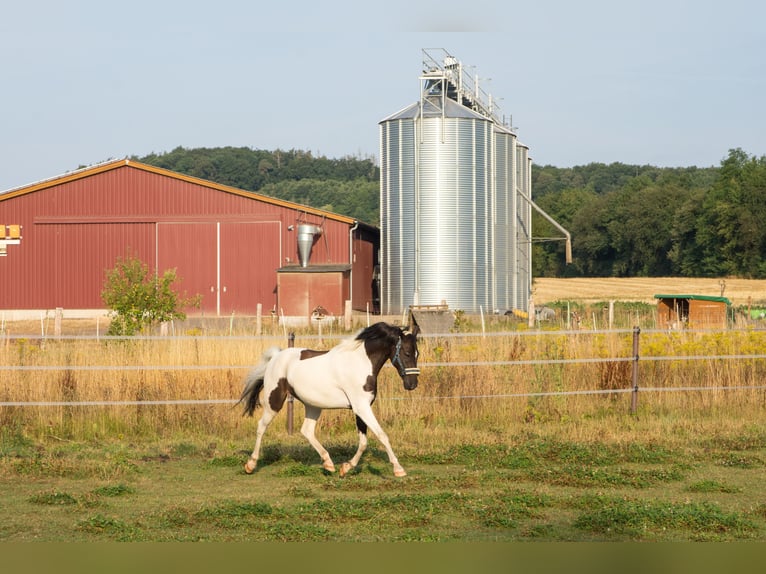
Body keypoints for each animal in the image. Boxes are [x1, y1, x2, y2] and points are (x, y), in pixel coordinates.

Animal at [238, 322, 424, 480]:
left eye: (417, 354)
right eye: (407, 353)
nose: (412, 384)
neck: (360, 363)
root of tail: (276, 356)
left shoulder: (360, 408)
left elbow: (363, 442)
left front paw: (345, 468)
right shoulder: (362, 408)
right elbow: (382, 435)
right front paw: (398, 469)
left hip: (313, 405)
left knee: (307, 430)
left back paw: (328, 463)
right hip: (274, 401)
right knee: (261, 426)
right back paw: (251, 465)